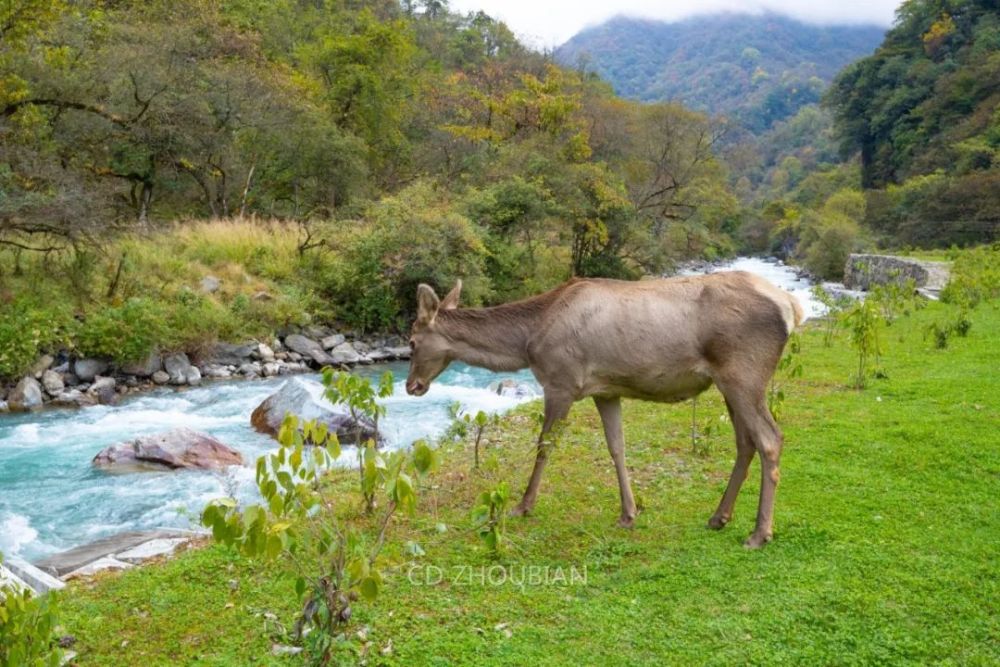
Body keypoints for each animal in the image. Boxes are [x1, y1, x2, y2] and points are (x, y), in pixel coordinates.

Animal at [402, 272, 800, 548]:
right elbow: (617, 447)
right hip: (729, 383)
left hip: (743, 375)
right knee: (745, 442)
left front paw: (523, 506)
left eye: (411, 341)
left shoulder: (561, 383)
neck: (527, 342)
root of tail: (791, 308)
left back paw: (759, 532)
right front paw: (629, 513)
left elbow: (545, 446)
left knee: (770, 438)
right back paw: (719, 516)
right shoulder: (606, 390)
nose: (411, 386)